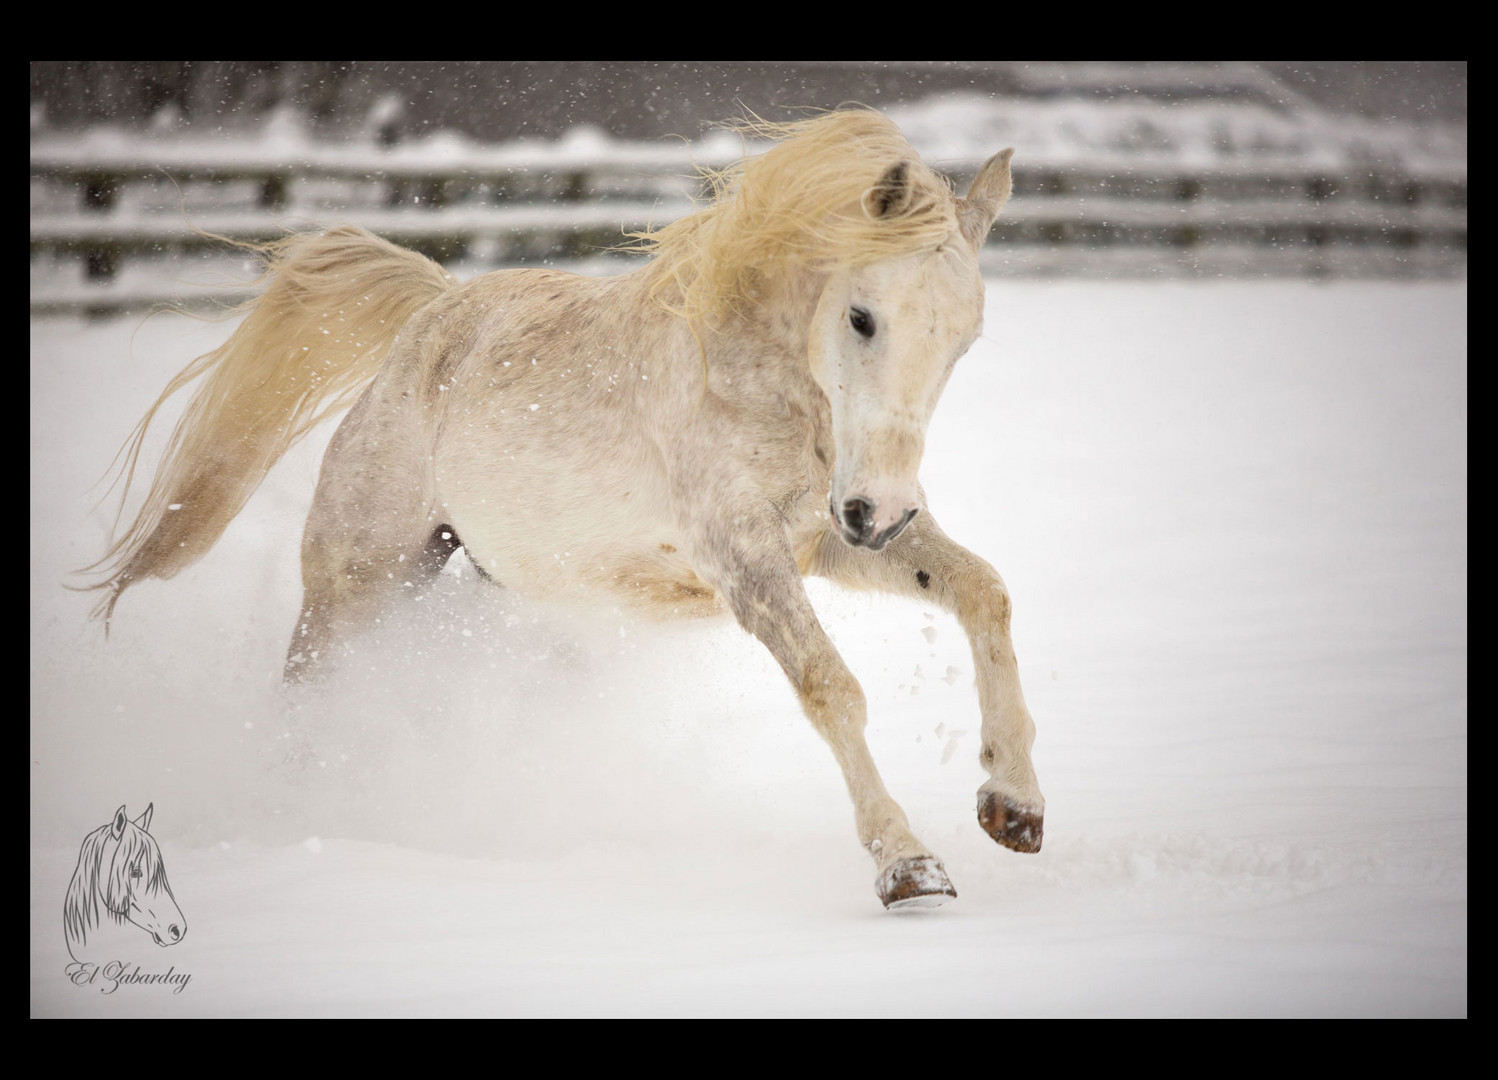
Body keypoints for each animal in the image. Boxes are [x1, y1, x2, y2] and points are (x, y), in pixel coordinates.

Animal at [82, 109, 1042, 904]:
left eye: (963, 340)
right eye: (862, 317)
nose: (884, 510)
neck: (749, 379)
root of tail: (433, 314)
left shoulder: (825, 541)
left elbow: (985, 590)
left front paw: (1014, 805)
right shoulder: (742, 554)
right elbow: (831, 687)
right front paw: (908, 865)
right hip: (358, 588)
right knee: (305, 704)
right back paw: (293, 823)